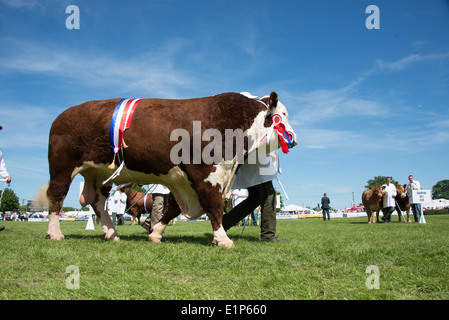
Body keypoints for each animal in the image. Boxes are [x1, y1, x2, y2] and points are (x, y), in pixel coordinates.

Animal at [37, 92, 298, 248]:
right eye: (282, 115)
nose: (293, 138)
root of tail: (63, 115)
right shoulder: (206, 174)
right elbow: (213, 206)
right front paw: (222, 238)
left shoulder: (184, 179)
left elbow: (173, 209)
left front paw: (156, 233)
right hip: (61, 167)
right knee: (56, 196)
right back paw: (55, 233)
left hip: (99, 174)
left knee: (98, 202)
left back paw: (111, 233)